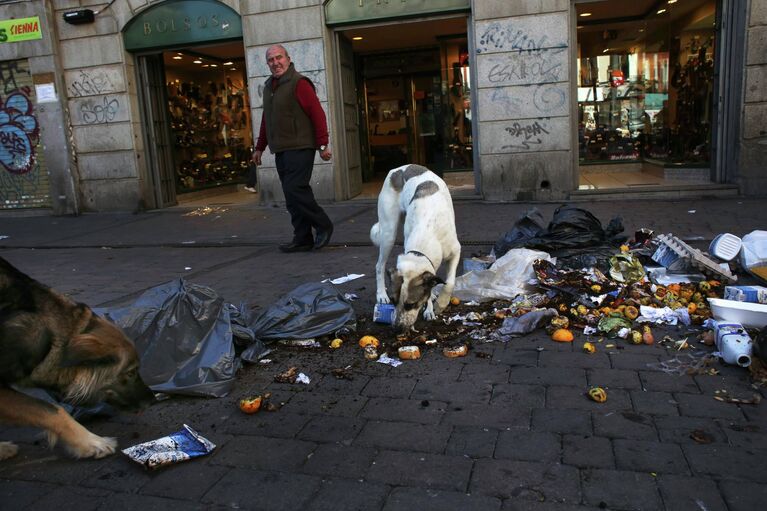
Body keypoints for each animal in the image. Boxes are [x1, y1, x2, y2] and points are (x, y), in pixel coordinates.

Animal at [372, 164, 462, 332]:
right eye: (393, 301)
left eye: (411, 304)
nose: (397, 328)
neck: (426, 231)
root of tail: (398, 169)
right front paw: (429, 308)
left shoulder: (455, 251)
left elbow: (449, 282)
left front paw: (440, 304)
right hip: (388, 233)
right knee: (379, 265)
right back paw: (381, 294)